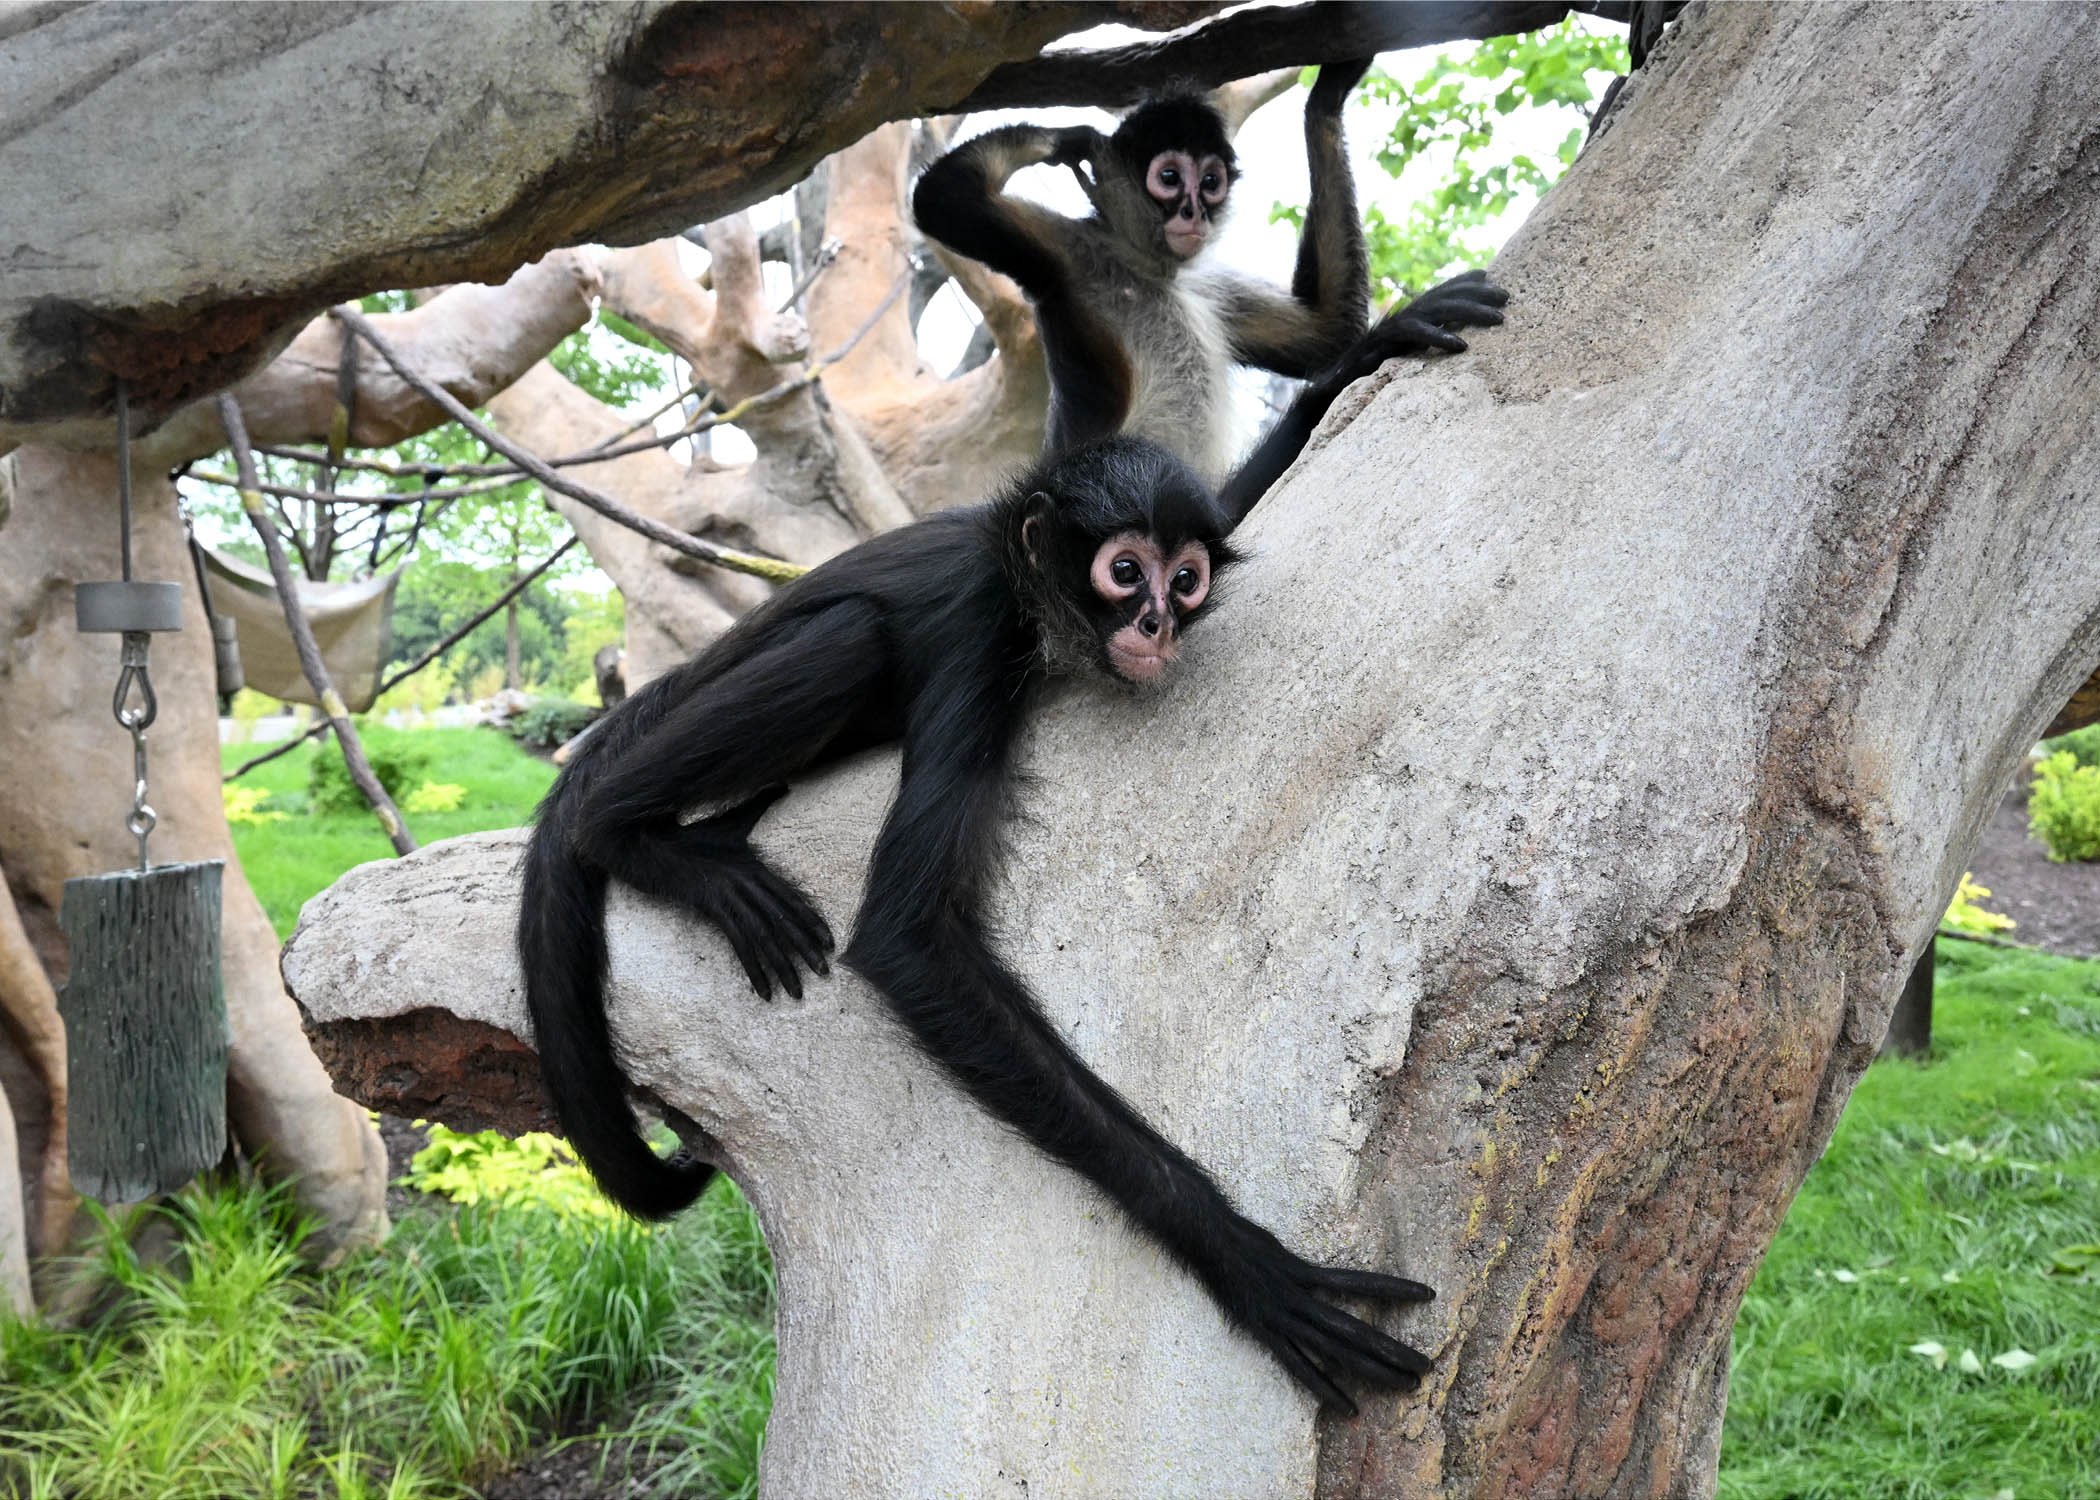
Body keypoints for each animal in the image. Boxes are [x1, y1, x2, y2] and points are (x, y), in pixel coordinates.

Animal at [521, 436, 1434, 1411]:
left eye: (1185, 579)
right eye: (1125, 573)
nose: (1158, 623)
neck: (1017, 572)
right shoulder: (981, 630)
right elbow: (906, 939)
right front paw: (1245, 1262)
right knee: (846, 639)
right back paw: (627, 832)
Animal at [912, 63, 1510, 521]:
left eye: (1210, 182)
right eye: (1169, 178)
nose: (1193, 212)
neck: (1148, 267)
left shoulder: (1207, 285)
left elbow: (1326, 332)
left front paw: (1327, 93)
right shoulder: (1073, 252)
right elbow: (942, 199)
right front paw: (1075, 137)